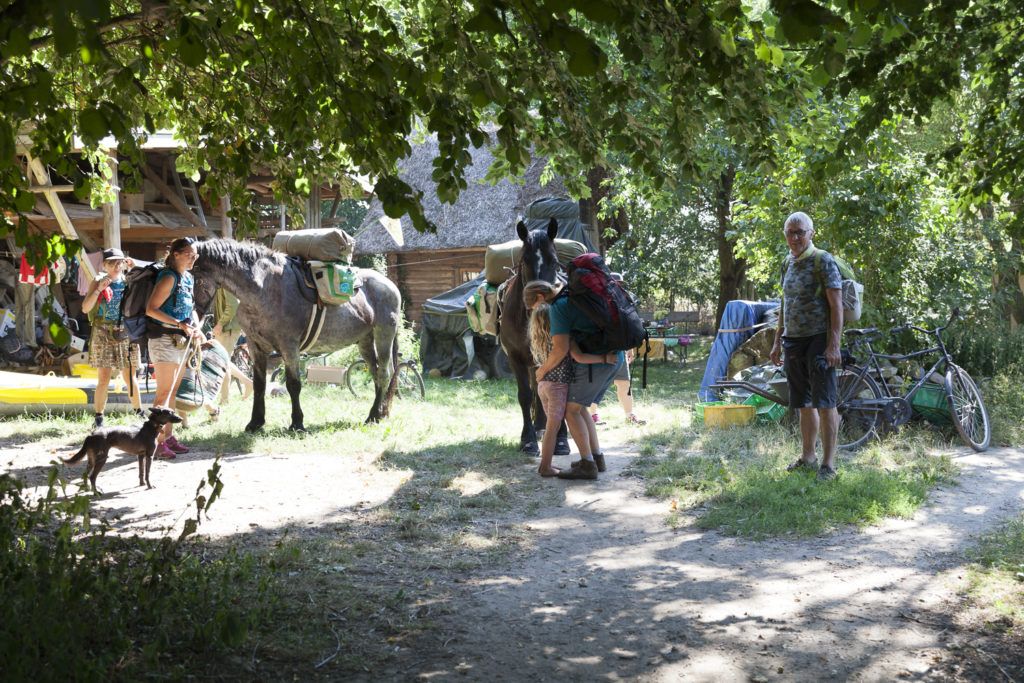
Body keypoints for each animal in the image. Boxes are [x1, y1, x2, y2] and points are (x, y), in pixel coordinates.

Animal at [192, 240, 399, 432]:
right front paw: (256, 422)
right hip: (365, 341)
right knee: (375, 373)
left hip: (383, 334)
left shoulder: (289, 346)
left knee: (383, 373)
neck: (265, 288)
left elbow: (293, 384)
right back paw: (379, 412)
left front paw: (297, 423)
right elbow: (259, 384)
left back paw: (373, 415)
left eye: (197, 279)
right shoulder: (255, 345)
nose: (195, 315)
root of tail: (390, 285)